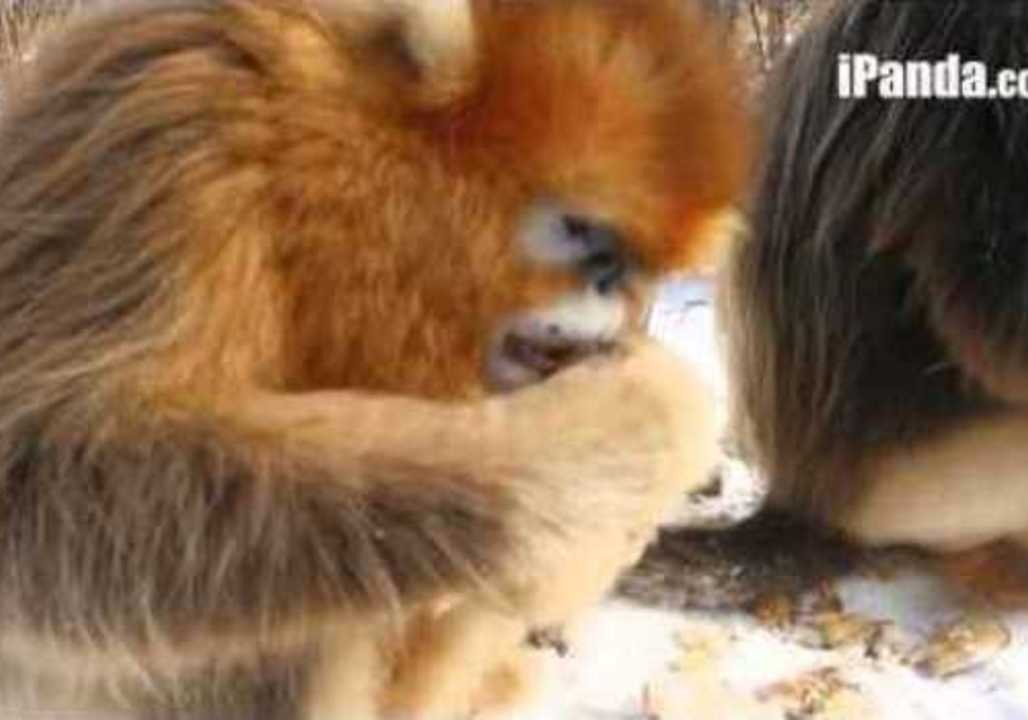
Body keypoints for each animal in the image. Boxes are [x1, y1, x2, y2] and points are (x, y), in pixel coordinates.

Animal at [0, 0, 749, 718]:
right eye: (581, 232)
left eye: (637, 267)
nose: (614, 291)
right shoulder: (180, 137)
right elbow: (52, 469)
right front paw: (639, 430)